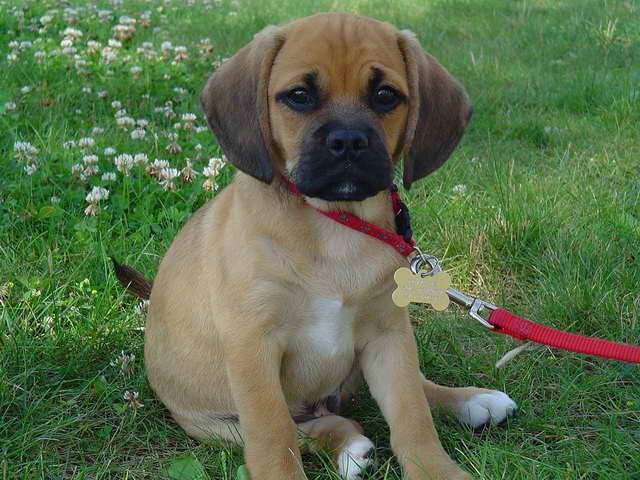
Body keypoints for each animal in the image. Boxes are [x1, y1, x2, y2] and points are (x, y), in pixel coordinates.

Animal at [115, 13, 516, 480]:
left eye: (385, 95)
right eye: (300, 96)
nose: (348, 141)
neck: (335, 224)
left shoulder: (389, 334)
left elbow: (412, 413)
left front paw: (436, 470)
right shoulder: (253, 346)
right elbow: (275, 434)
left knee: (413, 388)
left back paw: (471, 401)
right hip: (217, 425)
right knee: (308, 428)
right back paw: (348, 443)